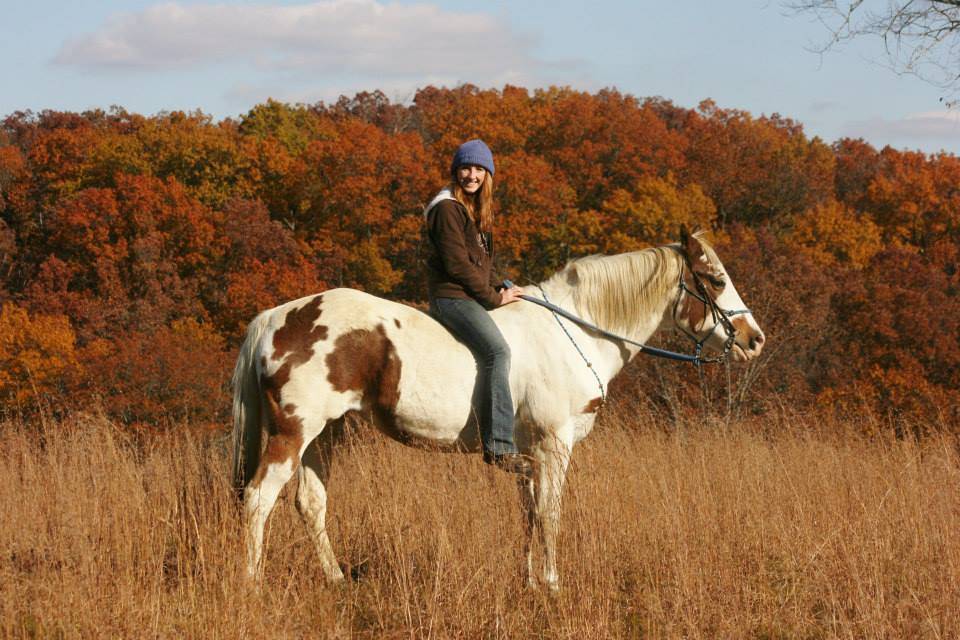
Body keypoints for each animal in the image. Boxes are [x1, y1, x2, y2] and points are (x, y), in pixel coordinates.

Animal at [231, 228, 765, 590]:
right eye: (716, 280)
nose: (754, 339)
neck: (576, 331)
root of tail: (277, 317)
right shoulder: (554, 446)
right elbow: (549, 513)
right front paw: (552, 584)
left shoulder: (528, 457)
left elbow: (528, 513)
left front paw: (529, 582)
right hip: (293, 433)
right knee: (258, 499)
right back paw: (251, 584)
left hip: (326, 434)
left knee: (310, 504)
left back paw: (337, 579)